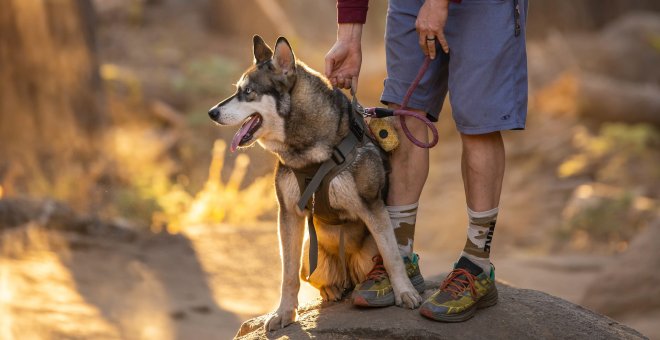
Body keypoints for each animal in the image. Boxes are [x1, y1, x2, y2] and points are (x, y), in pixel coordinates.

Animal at [208, 35, 422, 330]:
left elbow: (392, 257)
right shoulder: (289, 215)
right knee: (314, 278)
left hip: (367, 252)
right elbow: (287, 274)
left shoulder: (373, 206)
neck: (310, 154)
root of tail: (347, 274)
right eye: (239, 90)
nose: (211, 112)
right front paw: (284, 313)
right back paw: (331, 290)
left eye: (248, 92)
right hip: (311, 254)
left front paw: (404, 292)